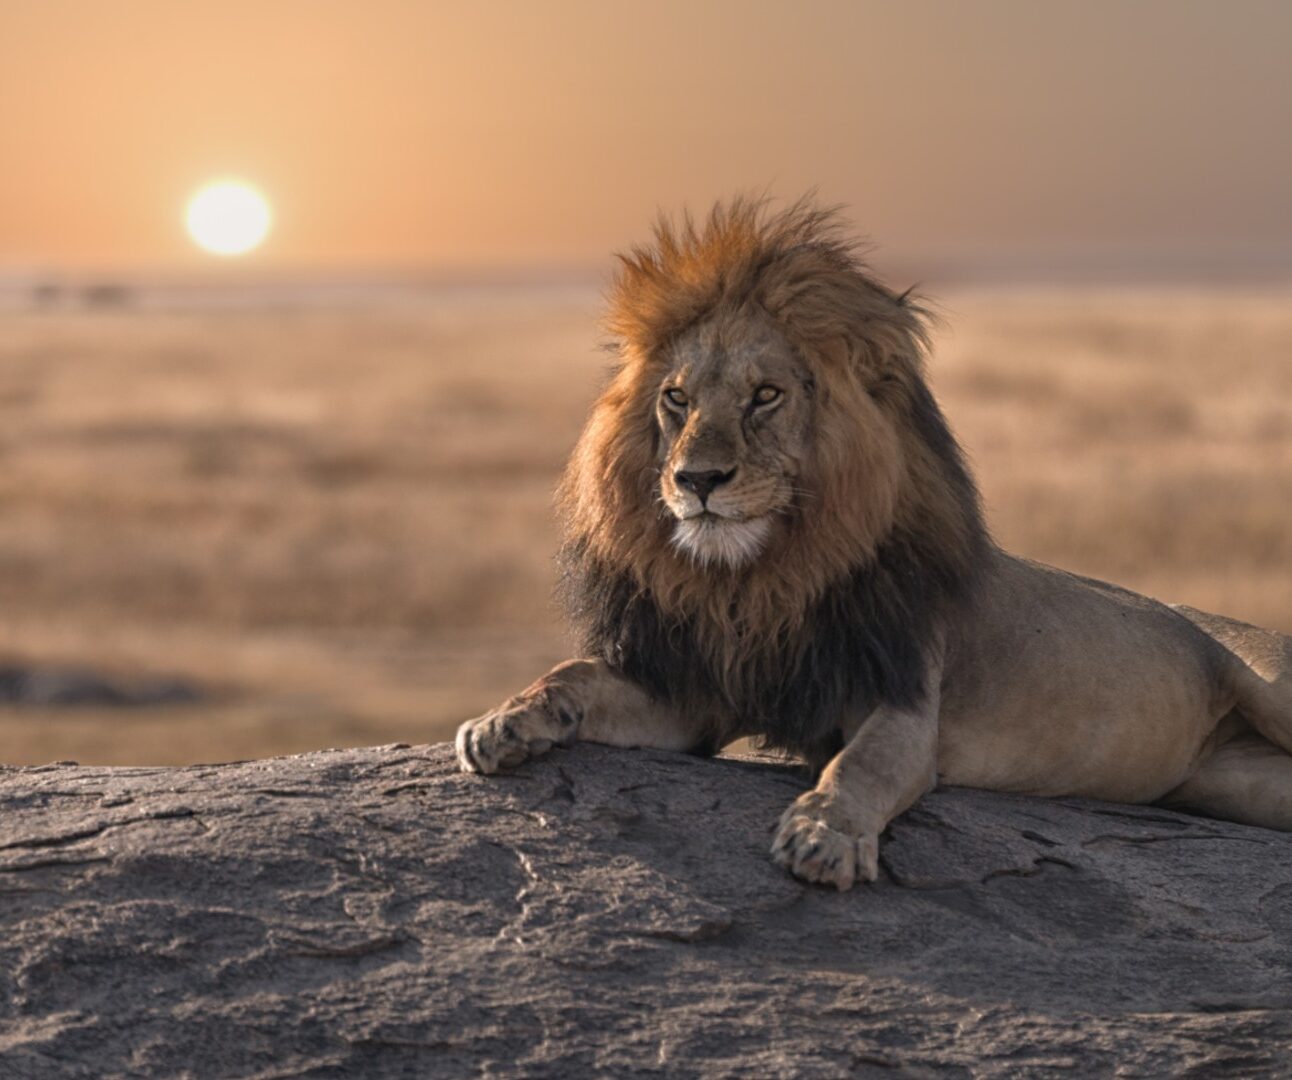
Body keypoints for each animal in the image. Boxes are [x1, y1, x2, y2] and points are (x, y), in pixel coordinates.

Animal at [455, 197, 1292, 890]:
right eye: (678, 400)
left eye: (766, 396)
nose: (697, 479)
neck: (760, 581)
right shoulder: (698, 694)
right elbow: (573, 676)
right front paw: (502, 722)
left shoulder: (903, 702)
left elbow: (858, 766)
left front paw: (823, 837)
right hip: (1234, 783)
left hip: (1269, 684)